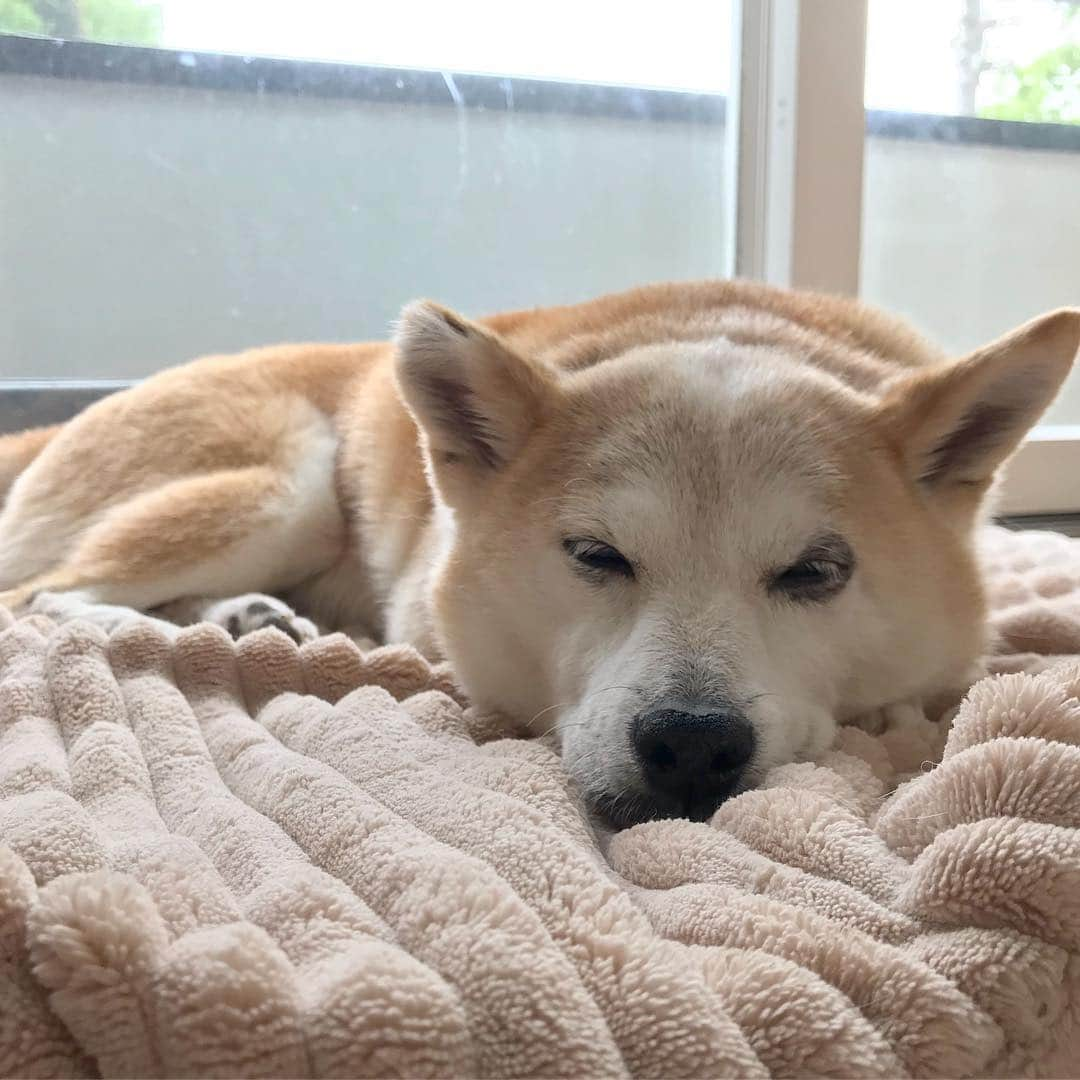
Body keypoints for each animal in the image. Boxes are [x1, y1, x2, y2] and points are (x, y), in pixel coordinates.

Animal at [0, 280, 1075, 825]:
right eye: (596, 555)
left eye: (815, 573)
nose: (692, 743)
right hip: (286, 487)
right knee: (43, 596)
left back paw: (248, 618)